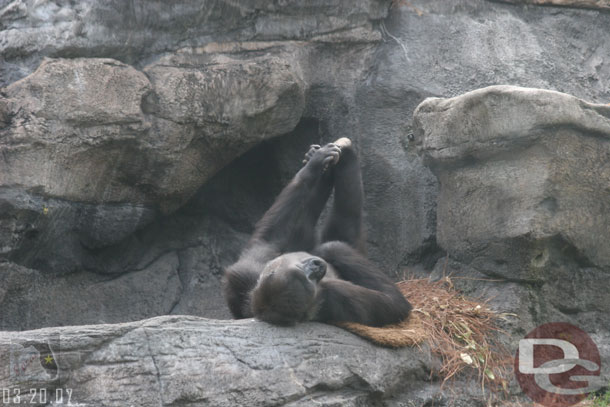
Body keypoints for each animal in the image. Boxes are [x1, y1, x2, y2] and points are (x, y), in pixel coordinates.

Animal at [221, 139, 410, 326]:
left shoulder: (247, 272)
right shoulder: (332, 294)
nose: (317, 265)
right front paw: (316, 165)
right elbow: (395, 302)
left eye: (302, 267)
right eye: (308, 279)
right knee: (338, 234)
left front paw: (313, 165)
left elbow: (275, 236)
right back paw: (348, 157)